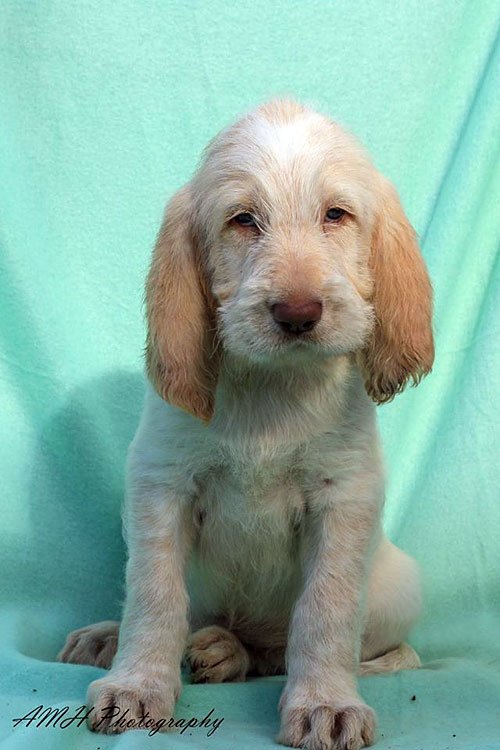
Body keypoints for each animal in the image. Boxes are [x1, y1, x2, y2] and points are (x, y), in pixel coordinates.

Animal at [58, 99, 434, 750]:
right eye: (242, 221)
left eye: (336, 215)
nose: (298, 313)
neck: (272, 388)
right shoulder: (160, 485)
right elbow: (154, 593)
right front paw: (137, 684)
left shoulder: (344, 497)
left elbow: (326, 609)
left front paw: (324, 702)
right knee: (194, 619)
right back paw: (128, 639)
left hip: (397, 586)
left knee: (309, 650)